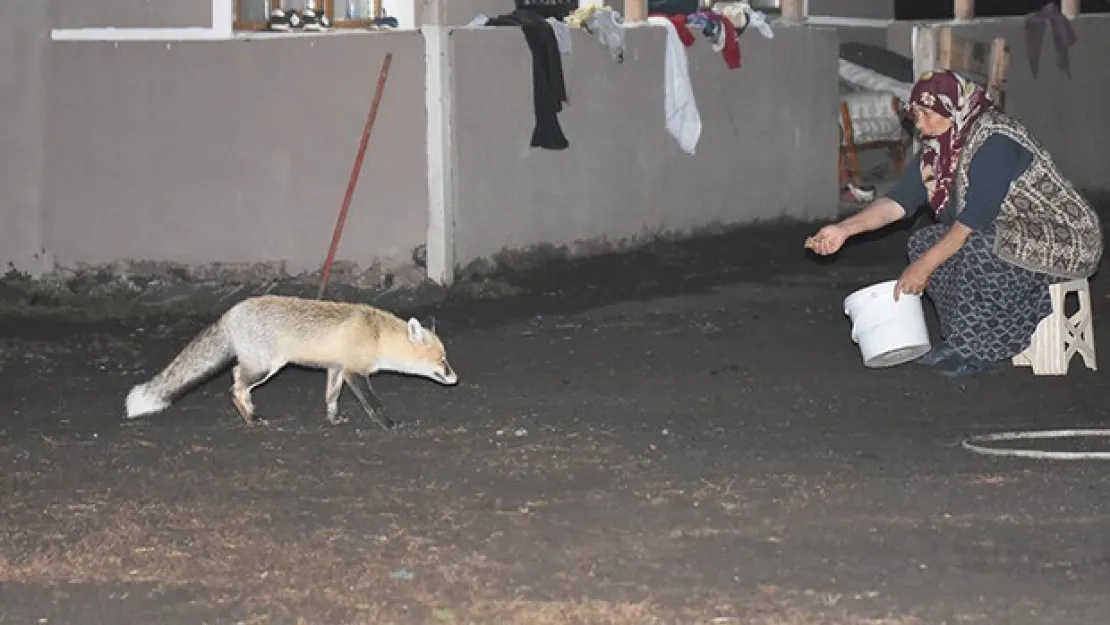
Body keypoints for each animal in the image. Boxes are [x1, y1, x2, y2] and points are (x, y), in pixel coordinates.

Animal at [125, 295, 459, 428]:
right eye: (442, 360)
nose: (455, 378)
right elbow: (373, 403)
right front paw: (388, 424)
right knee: (235, 387)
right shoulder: (354, 372)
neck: (376, 337)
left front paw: (333, 420)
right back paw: (252, 419)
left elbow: (331, 398)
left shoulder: (336, 368)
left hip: (260, 365)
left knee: (235, 377)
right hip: (266, 367)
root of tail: (231, 311)